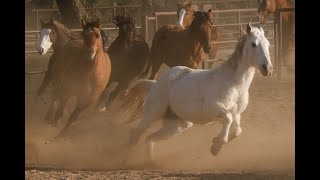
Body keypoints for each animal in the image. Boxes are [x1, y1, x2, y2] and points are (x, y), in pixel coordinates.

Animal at [117, 22, 272, 163]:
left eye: (268, 44)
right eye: (253, 44)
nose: (267, 68)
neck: (233, 84)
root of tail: (155, 84)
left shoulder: (237, 114)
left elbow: (237, 130)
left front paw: (215, 142)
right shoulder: (214, 109)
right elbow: (227, 119)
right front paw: (216, 147)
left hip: (178, 125)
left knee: (149, 138)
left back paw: (151, 161)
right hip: (152, 114)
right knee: (135, 134)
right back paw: (124, 161)